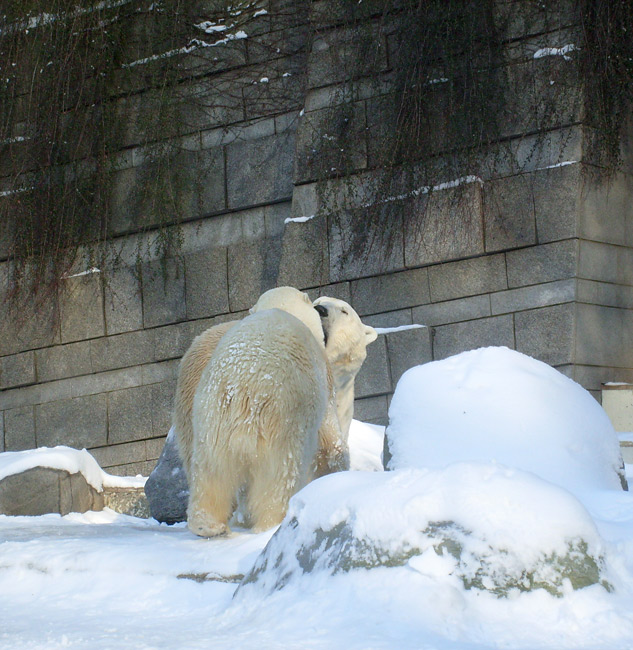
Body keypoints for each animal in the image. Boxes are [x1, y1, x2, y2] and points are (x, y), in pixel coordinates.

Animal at [190, 306, 344, 536]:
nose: (323, 310)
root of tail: (242, 387)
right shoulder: (323, 380)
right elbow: (330, 443)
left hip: (212, 417)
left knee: (211, 471)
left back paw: (208, 525)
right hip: (283, 420)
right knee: (279, 478)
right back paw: (271, 523)